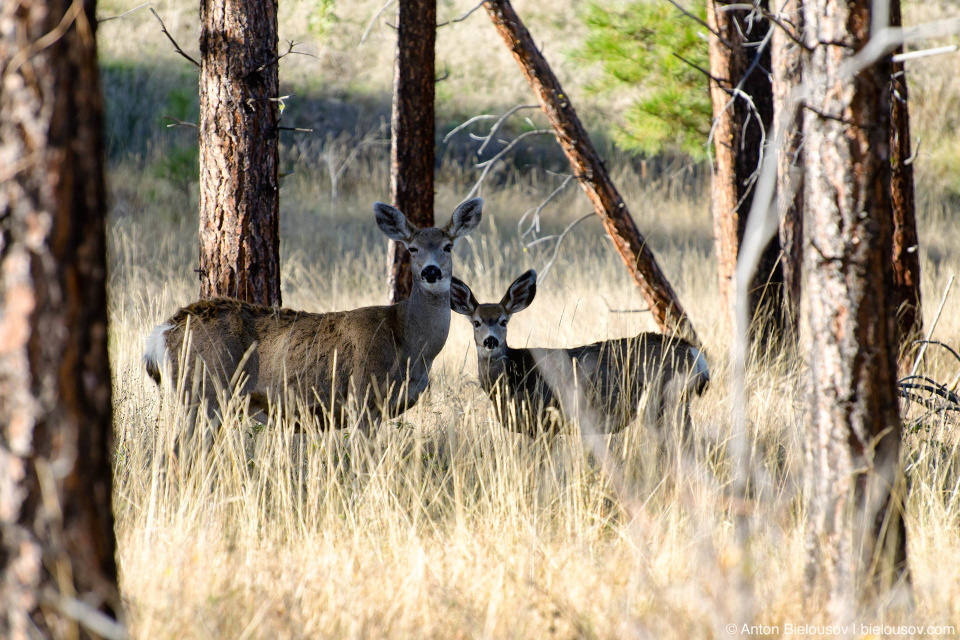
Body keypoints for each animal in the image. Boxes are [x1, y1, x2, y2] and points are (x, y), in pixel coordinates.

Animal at [143, 198, 484, 442]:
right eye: (412, 248)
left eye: (448, 246)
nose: (431, 271)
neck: (408, 343)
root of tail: (165, 330)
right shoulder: (361, 396)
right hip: (206, 392)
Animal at [448, 268, 704, 438]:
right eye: (476, 322)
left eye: (503, 321)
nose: (490, 341)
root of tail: (695, 353)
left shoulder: (544, 419)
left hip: (664, 401)